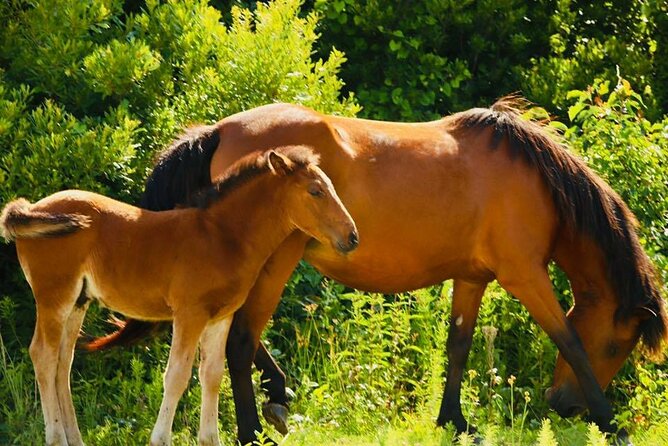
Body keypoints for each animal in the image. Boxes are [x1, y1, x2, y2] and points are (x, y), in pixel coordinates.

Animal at [0, 147, 358, 446]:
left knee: (63, 362)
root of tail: (32, 208)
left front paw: (210, 440)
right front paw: (160, 439)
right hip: (54, 296)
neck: (222, 237)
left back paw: (75, 439)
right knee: (43, 355)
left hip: (78, 302)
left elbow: (211, 376)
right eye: (315, 190)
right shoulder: (190, 313)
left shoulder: (220, 316)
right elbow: (177, 376)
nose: (352, 237)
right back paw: (56, 438)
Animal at [86, 96, 664, 442]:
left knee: (240, 339)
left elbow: (458, 345)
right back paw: (254, 426)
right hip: (276, 259)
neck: (531, 179)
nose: (562, 405)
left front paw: (454, 420)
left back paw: (278, 397)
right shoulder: (523, 273)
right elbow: (568, 338)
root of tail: (218, 130)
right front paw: (611, 423)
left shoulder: (472, 276)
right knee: (242, 340)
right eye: (618, 345)